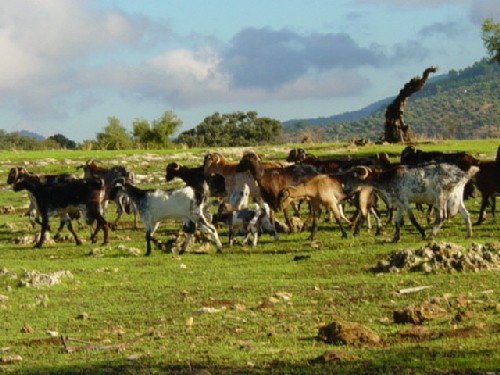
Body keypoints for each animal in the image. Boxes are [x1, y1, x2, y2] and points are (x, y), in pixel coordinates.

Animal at [342, 163, 478, 242]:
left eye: (352, 176)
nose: (345, 189)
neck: (387, 179)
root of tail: (461, 174)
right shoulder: (399, 204)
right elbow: (397, 222)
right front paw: (395, 238)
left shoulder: (405, 201)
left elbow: (412, 219)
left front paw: (423, 234)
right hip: (456, 198)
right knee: (466, 215)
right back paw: (468, 235)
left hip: (440, 197)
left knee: (441, 217)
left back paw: (430, 235)